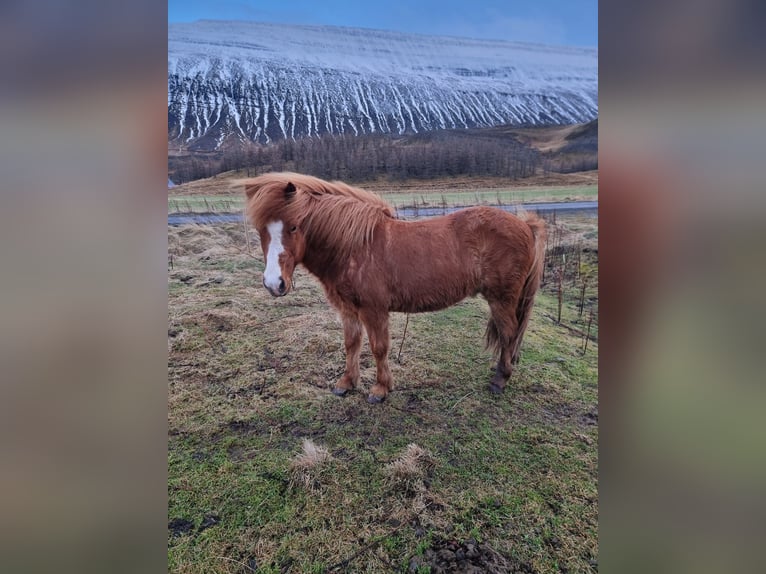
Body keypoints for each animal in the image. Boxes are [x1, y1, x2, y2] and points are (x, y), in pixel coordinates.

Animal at [243, 172, 546, 404]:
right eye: (260, 230)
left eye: (294, 227)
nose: (274, 283)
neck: (354, 246)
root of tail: (525, 224)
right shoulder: (347, 309)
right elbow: (352, 343)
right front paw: (346, 383)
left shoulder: (374, 310)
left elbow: (379, 348)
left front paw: (380, 389)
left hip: (502, 299)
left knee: (509, 333)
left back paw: (500, 379)